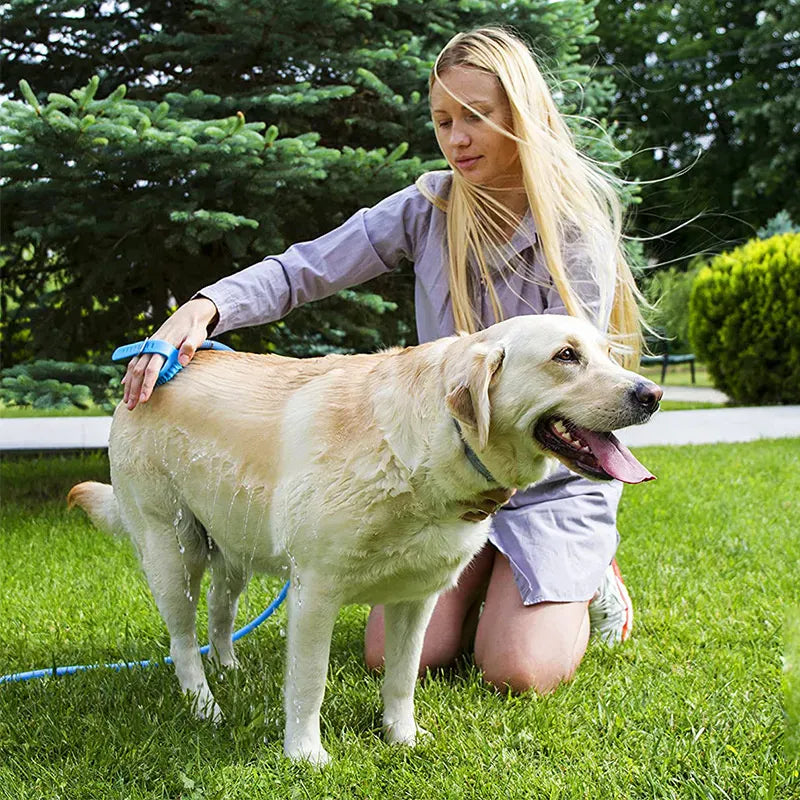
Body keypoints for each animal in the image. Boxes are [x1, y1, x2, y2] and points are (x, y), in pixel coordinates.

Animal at [69, 312, 660, 764]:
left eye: (608, 353)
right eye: (566, 356)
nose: (652, 394)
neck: (430, 447)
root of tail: (151, 369)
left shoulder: (417, 599)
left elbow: (402, 677)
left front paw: (403, 737)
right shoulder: (314, 593)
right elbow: (309, 682)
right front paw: (305, 755)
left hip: (233, 546)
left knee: (220, 610)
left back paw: (230, 668)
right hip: (173, 552)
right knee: (181, 640)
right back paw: (205, 704)